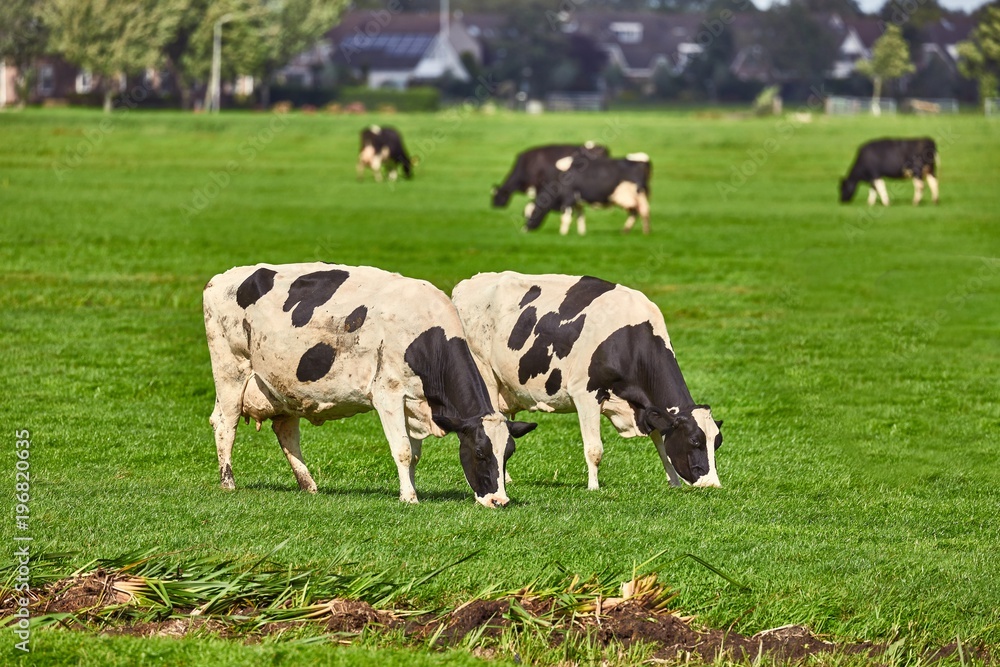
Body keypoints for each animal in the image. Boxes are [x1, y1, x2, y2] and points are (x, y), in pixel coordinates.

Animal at [199, 260, 536, 506]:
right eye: (479, 453)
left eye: (508, 454)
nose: (499, 501)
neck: (424, 331)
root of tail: (222, 278)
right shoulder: (387, 394)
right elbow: (402, 449)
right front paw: (409, 498)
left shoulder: (413, 404)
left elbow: (414, 454)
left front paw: (410, 489)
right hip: (230, 369)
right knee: (225, 422)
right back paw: (228, 482)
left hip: (281, 387)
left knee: (285, 432)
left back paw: (309, 485)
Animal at [450, 272, 724, 490]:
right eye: (695, 441)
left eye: (717, 443)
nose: (713, 485)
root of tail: (468, 283)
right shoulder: (585, 393)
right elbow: (595, 449)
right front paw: (593, 487)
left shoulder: (648, 407)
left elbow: (662, 445)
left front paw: (674, 482)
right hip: (485, 374)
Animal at [524, 153, 656, 236]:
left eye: (532, 213)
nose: (525, 229)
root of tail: (641, 161)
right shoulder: (578, 202)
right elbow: (580, 217)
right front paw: (581, 233)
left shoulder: (568, 198)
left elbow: (565, 218)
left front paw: (562, 233)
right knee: (635, 212)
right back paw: (626, 231)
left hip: (637, 195)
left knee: (643, 211)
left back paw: (645, 232)